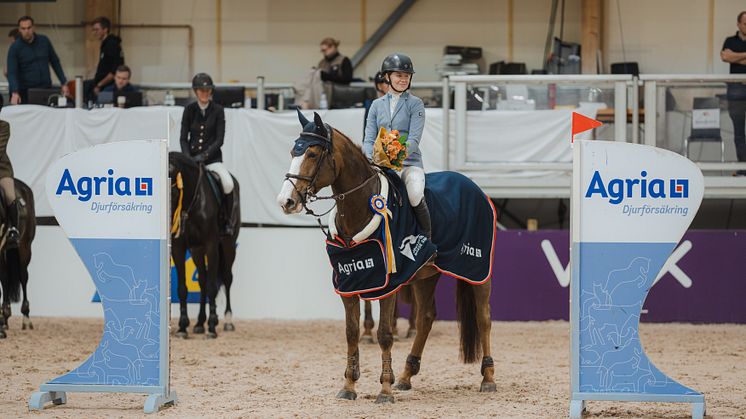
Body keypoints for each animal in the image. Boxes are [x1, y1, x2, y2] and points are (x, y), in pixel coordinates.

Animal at [168, 153, 238, 340]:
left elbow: (213, 287)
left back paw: (227, 321)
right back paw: (199, 323)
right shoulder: (178, 247)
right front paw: (182, 327)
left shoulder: (211, 245)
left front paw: (212, 327)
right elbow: (183, 288)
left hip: (228, 245)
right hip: (196, 250)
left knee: (227, 278)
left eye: (172, 189)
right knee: (202, 280)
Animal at [274, 111, 494, 404]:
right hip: (426, 275)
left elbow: (385, 334)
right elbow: (351, 333)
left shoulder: (390, 284)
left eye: (311, 153)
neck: (359, 209)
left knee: (483, 318)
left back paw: (488, 378)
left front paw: (385, 390)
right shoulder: (350, 282)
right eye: (293, 151)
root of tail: (473, 185)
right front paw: (349, 386)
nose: (285, 201)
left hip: (477, 268)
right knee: (425, 318)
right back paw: (406, 376)